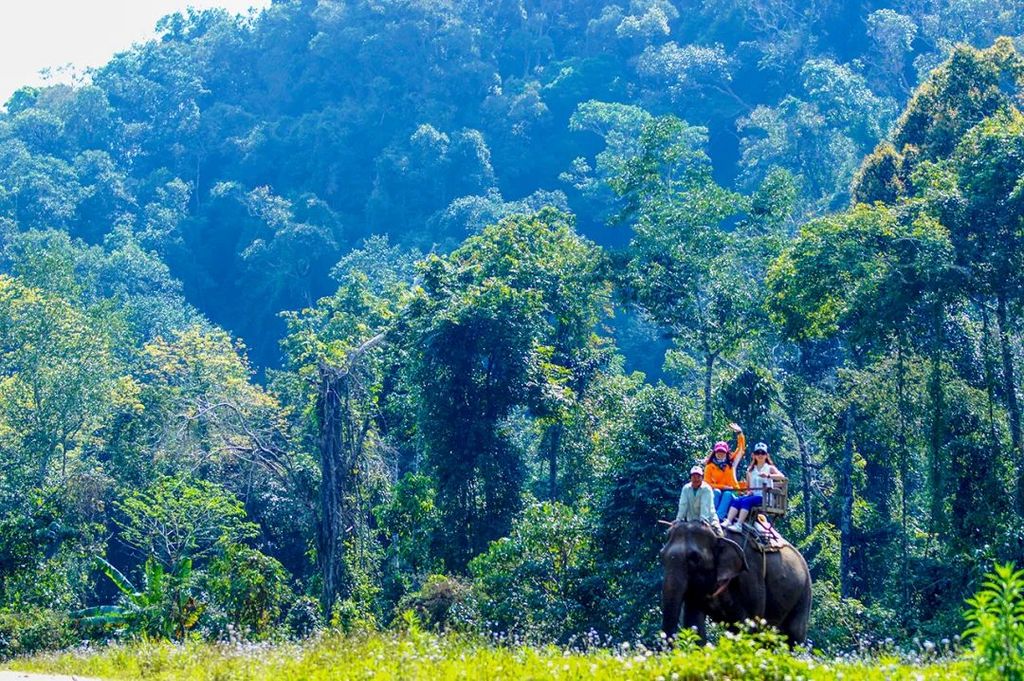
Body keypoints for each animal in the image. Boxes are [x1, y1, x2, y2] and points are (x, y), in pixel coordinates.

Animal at [659, 520, 811, 643]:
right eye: (662, 555)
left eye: (695, 558)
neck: (719, 534)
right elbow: (693, 621)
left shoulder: (751, 571)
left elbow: (750, 622)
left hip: (803, 592)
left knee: (793, 635)